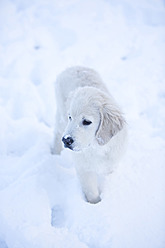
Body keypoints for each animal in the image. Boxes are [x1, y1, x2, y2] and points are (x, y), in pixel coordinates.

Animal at [52, 66, 126, 203]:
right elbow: (91, 191)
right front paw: (95, 204)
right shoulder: (85, 169)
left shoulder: (111, 163)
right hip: (61, 117)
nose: (66, 140)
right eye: (70, 117)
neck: (97, 148)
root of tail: (72, 67)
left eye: (86, 121)